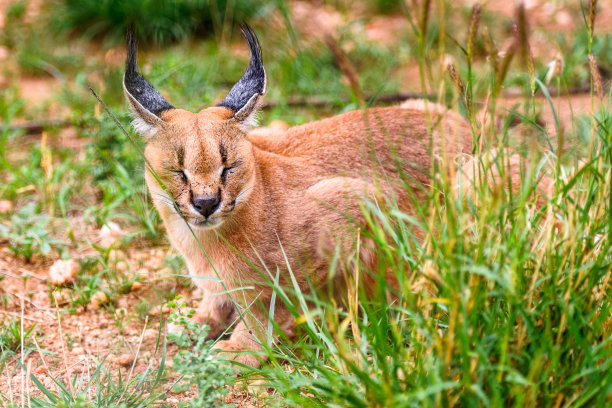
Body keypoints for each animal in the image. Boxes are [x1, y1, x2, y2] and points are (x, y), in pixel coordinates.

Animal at [120, 27, 474, 368]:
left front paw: (242, 348)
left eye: (228, 167)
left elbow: (272, 301)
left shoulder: (355, 200)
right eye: (178, 171)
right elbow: (219, 297)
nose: (206, 204)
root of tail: (469, 130)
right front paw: (189, 328)